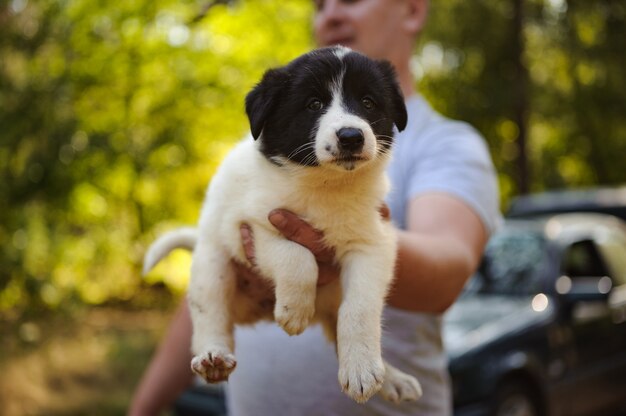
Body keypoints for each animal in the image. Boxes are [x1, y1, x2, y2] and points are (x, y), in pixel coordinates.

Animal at [144, 45, 422, 404]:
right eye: (313, 104)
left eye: (368, 102)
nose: (351, 136)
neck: (326, 185)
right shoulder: (252, 227)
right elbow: (297, 258)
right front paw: (294, 311)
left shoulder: (372, 244)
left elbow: (359, 309)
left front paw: (362, 369)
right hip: (212, 263)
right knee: (211, 316)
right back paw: (213, 358)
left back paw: (390, 378)